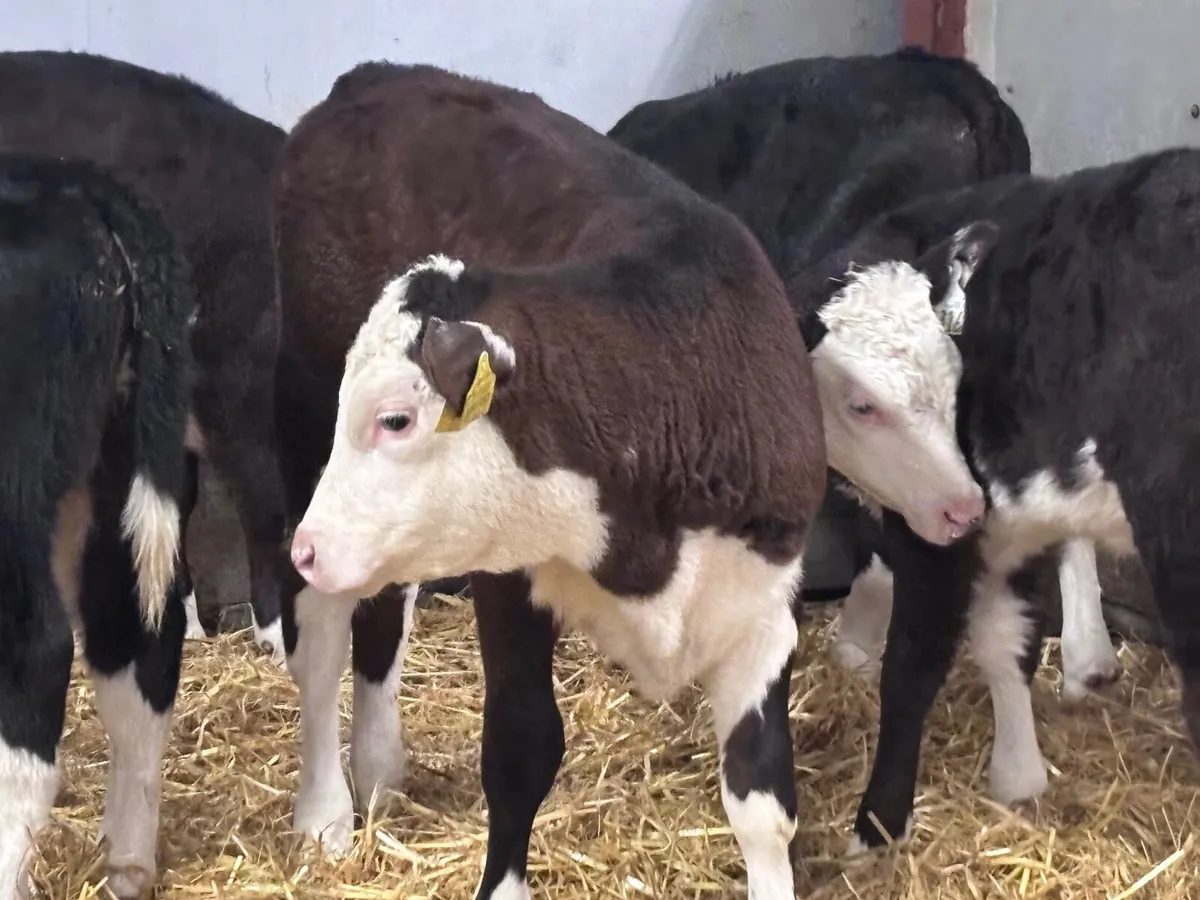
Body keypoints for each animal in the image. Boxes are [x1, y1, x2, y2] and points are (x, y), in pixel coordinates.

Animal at [0, 154, 194, 900]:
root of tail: (77, 182)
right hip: (114, 465)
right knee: (135, 635)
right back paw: (127, 869)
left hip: (15, 493)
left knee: (38, 650)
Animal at [272, 61, 838, 899]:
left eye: (396, 419)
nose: (310, 545)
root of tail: (378, 76)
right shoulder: (508, 581)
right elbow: (520, 751)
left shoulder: (763, 604)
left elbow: (762, 795)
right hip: (306, 438)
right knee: (318, 637)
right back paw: (324, 813)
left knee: (381, 613)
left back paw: (378, 771)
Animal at [780, 146, 1200, 857]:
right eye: (862, 404)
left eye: (956, 385)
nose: (962, 509)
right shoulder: (1004, 515)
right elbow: (1008, 638)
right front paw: (1018, 776)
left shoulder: (943, 536)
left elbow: (914, 663)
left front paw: (877, 825)